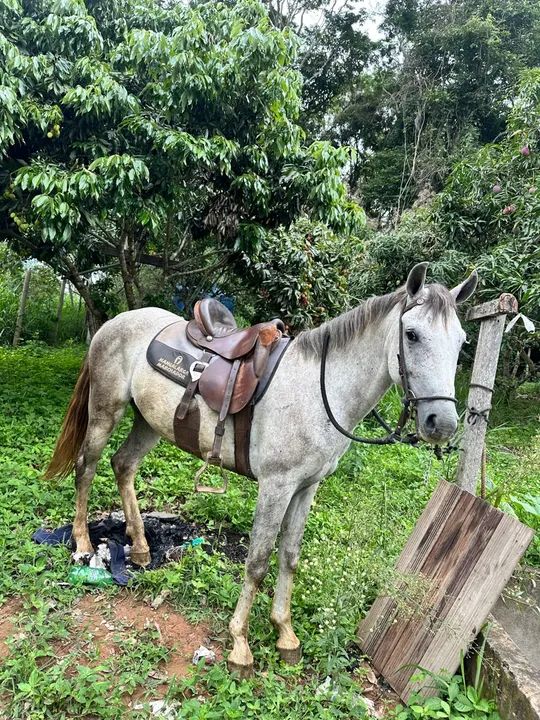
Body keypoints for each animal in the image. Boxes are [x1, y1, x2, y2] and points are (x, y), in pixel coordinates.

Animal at [44, 262, 477, 676]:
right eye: (412, 335)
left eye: (461, 342)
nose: (442, 423)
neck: (319, 392)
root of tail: (115, 322)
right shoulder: (276, 485)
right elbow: (256, 562)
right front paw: (240, 645)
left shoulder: (306, 488)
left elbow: (289, 556)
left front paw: (285, 634)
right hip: (105, 411)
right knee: (86, 468)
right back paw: (83, 543)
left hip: (149, 423)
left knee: (123, 466)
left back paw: (139, 547)